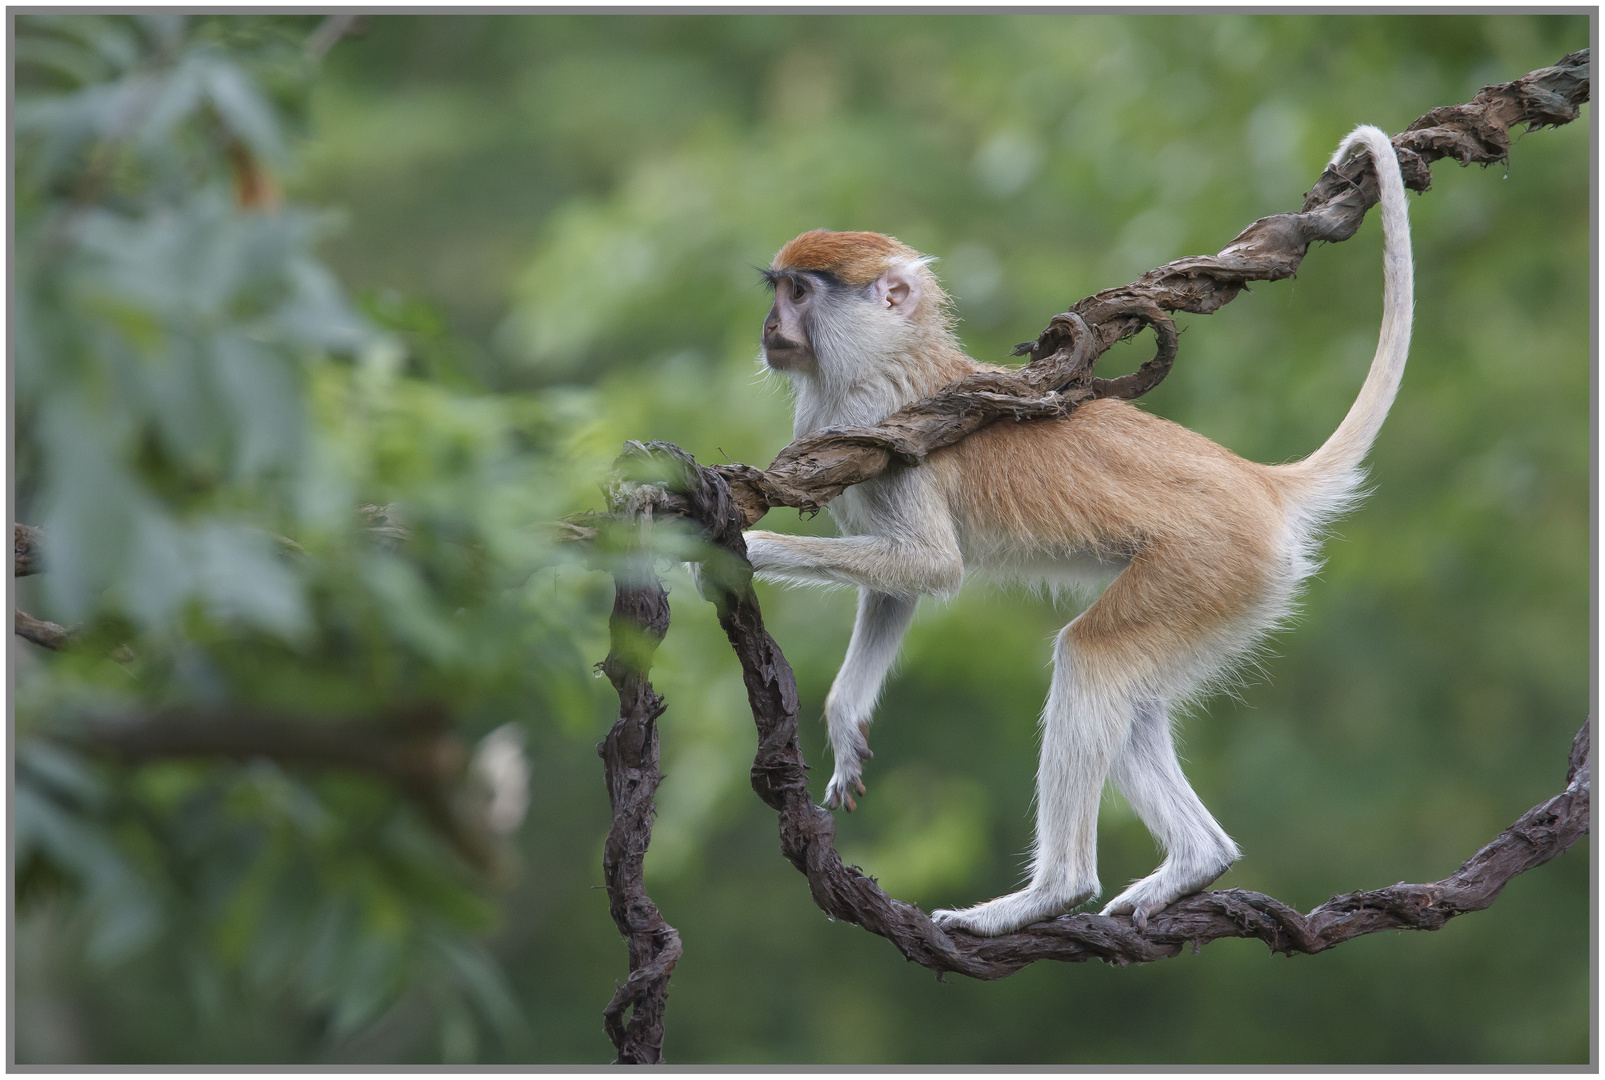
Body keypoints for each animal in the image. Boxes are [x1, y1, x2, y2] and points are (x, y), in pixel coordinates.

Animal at [744, 128, 1412, 937]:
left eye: (800, 292)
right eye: (777, 289)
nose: (770, 328)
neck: (886, 354)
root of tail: (1257, 482)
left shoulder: (880, 427)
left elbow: (930, 567)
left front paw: (734, 546)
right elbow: (899, 589)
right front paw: (846, 727)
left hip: (1213, 565)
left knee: (1089, 660)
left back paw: (1049, 894)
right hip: (1228, 589)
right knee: (1133, 697)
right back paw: (1196, 863)